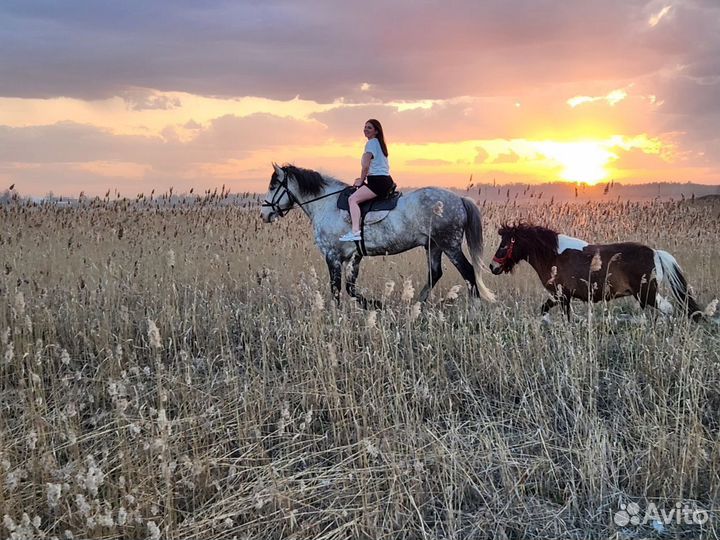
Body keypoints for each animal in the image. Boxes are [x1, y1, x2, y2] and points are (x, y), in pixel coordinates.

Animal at [262, 163, 498, 308]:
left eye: (273, 185)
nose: (264, 214)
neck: (326, 204)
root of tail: (459, 199)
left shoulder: (333, 256)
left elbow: (337, 289)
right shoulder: (354, 256)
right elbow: (350, 288)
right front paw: (375, 305)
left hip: (449, 245)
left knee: (468, 273)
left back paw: (473, 308)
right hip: (434, 246)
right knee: (435, 273)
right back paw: (416, 305)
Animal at [490, 223, 704, 320]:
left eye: (504, 244)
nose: (493, 267)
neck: (553, 255)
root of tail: (655, 253)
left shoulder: (562, 295)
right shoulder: (557, 296)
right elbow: (544, 310)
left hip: (647, 294)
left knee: (669, 309)